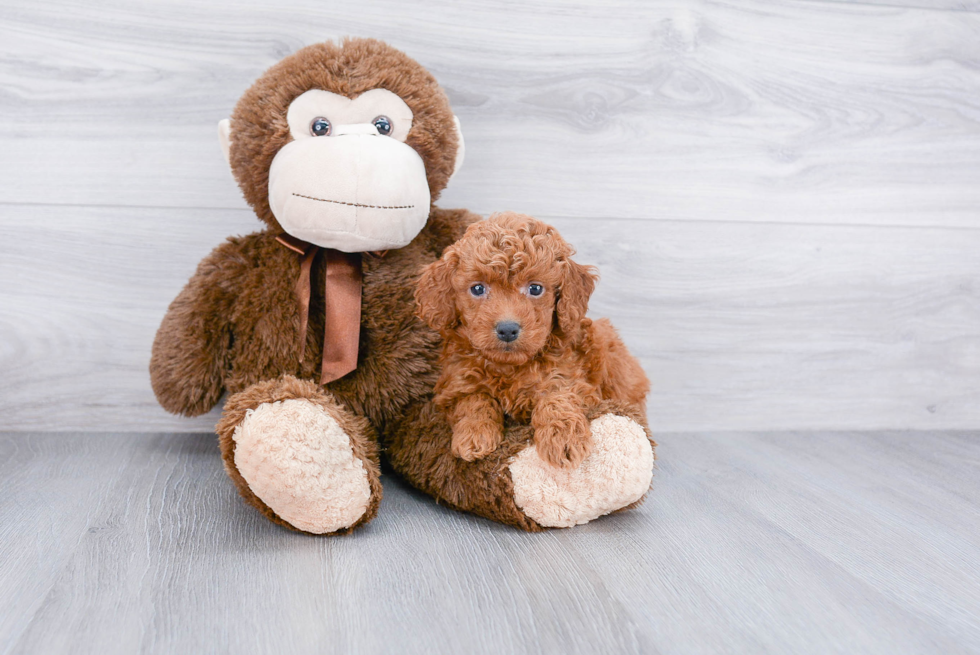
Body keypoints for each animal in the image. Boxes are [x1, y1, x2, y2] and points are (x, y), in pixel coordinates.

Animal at [416, 213, 652, 468]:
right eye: (478, 288)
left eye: (535, 288)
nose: (507, 329)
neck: (509, 367)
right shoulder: (456, 384)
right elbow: (474, 400)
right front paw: (474, 435)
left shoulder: (569, 377)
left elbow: (557, 397)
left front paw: (563, 438)